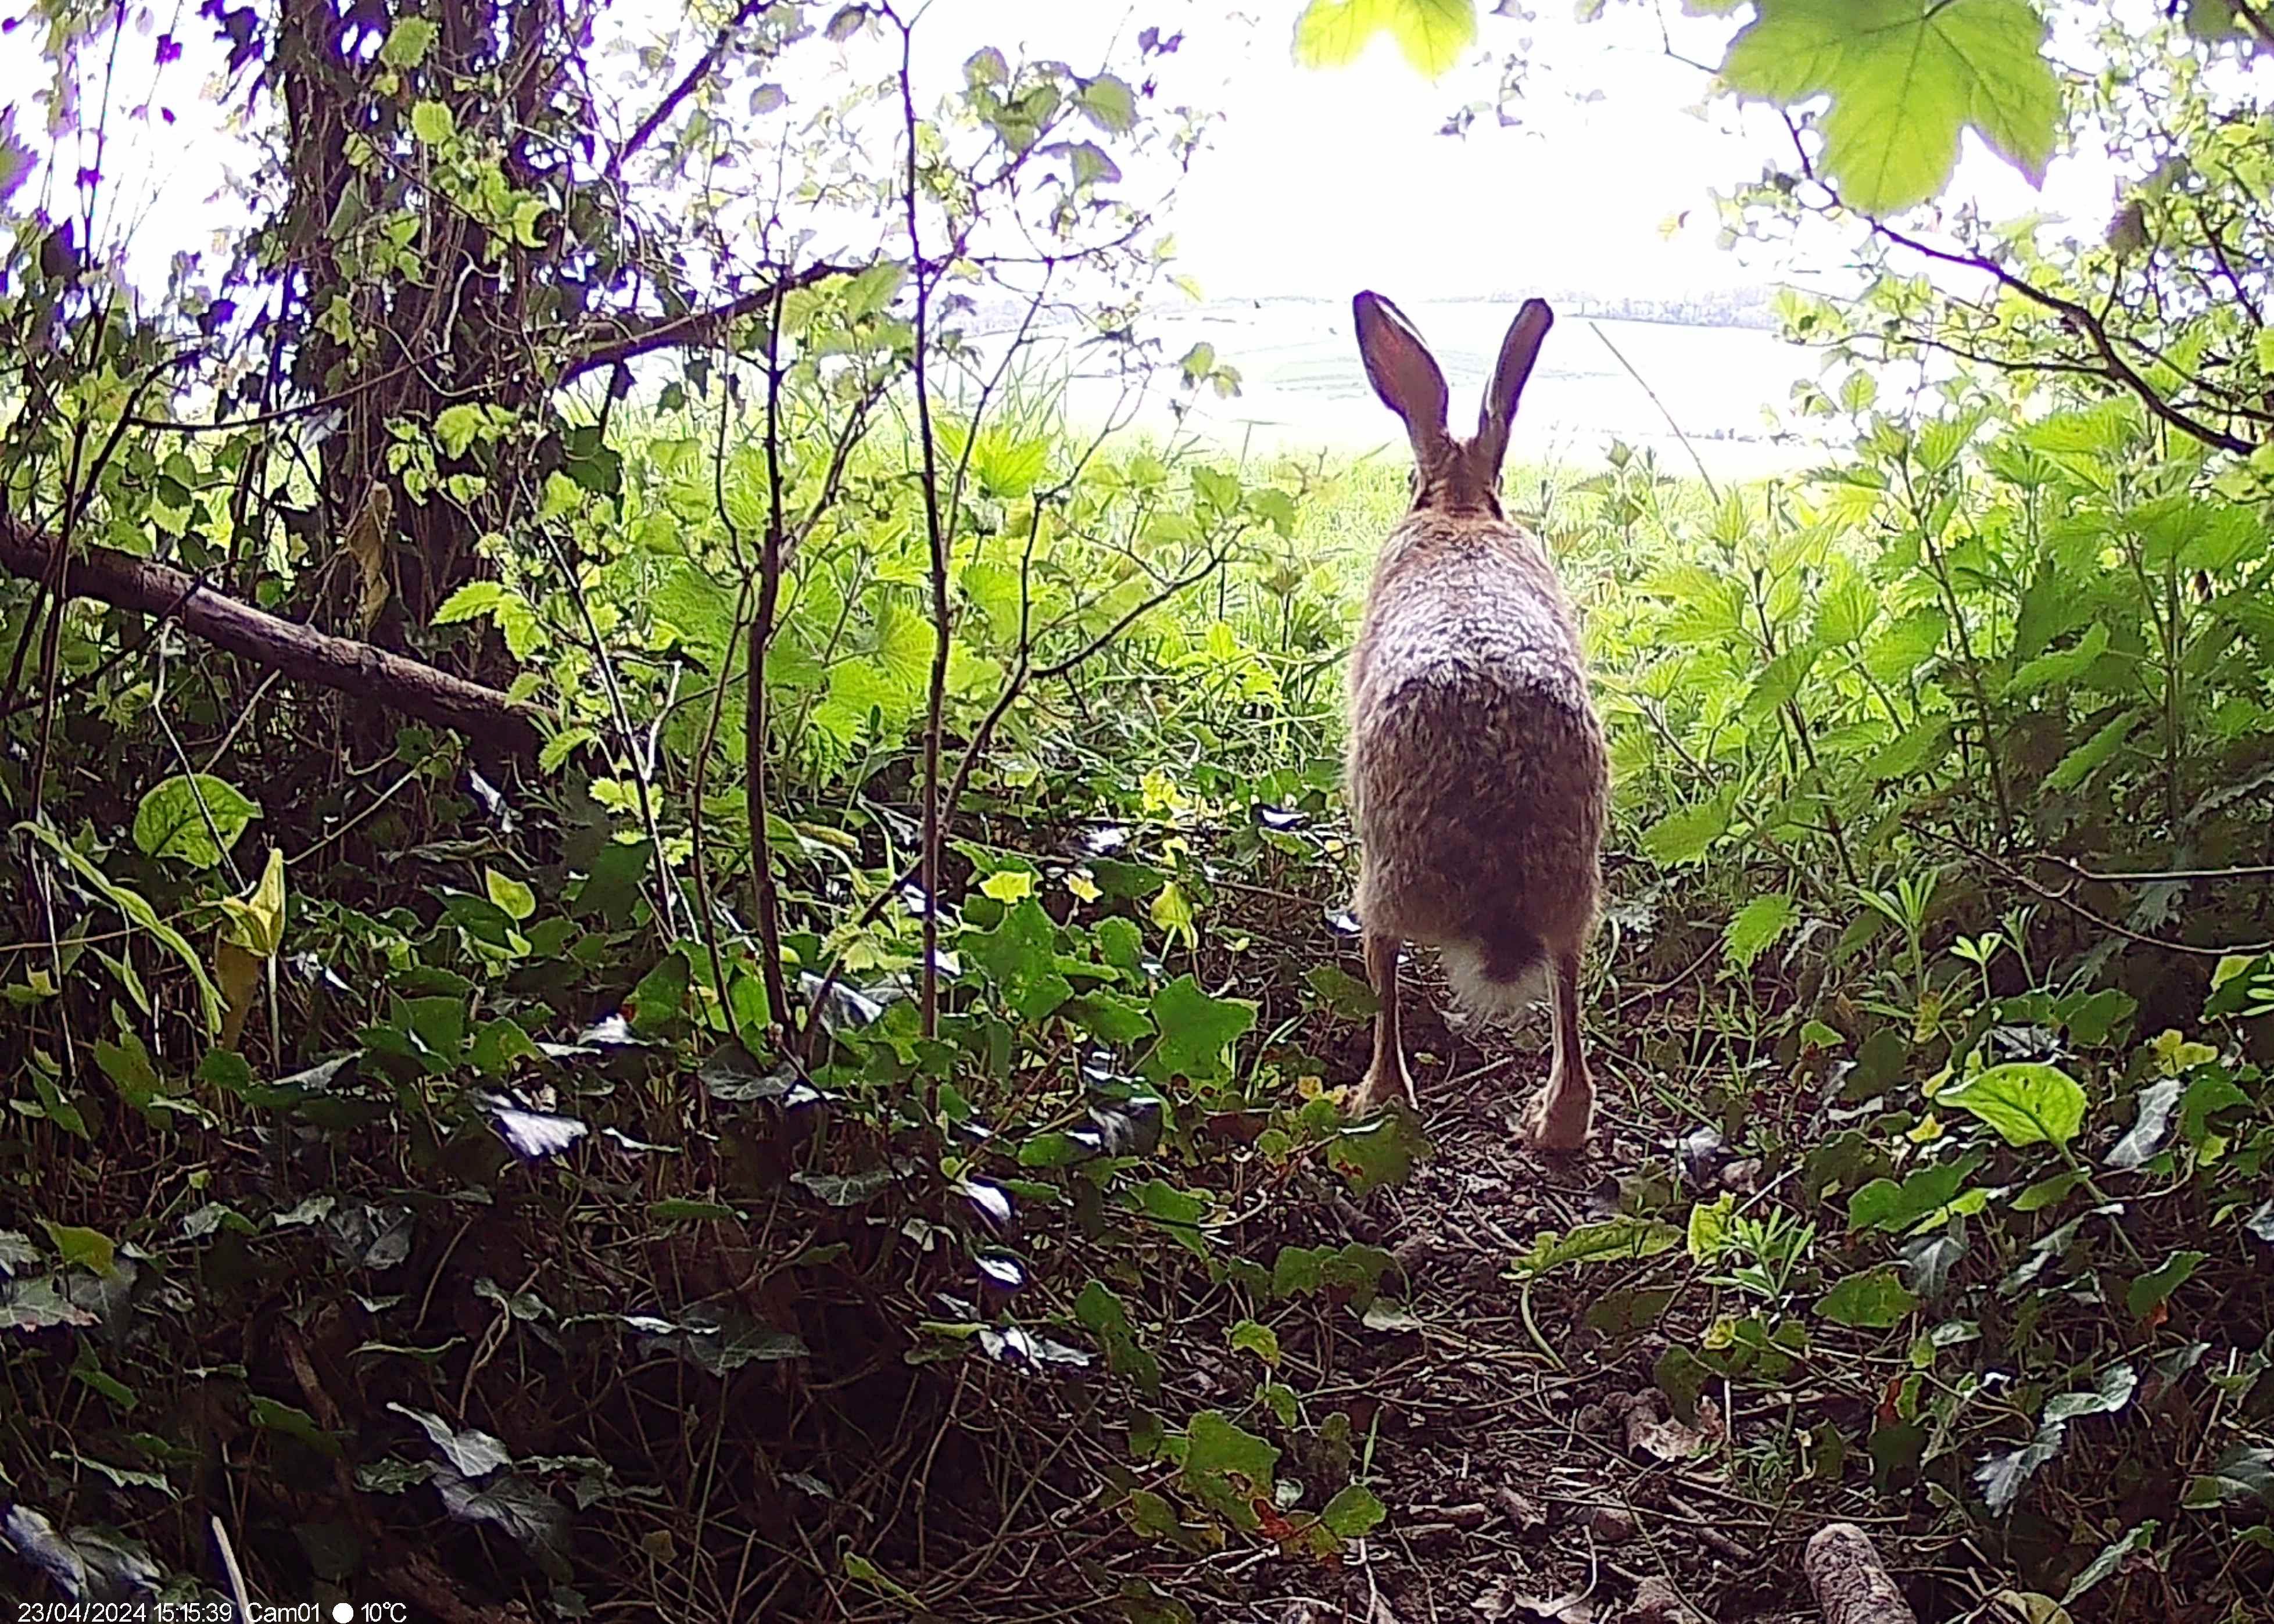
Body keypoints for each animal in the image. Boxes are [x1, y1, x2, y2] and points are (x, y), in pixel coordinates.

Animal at [1341, 290, 1609, 1153]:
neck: (1460, 508)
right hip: (1574, 895)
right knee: (1569, 1003)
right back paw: (1551, 1124)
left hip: (1382, 885)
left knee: (1386, 989)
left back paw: (1371, 1101)